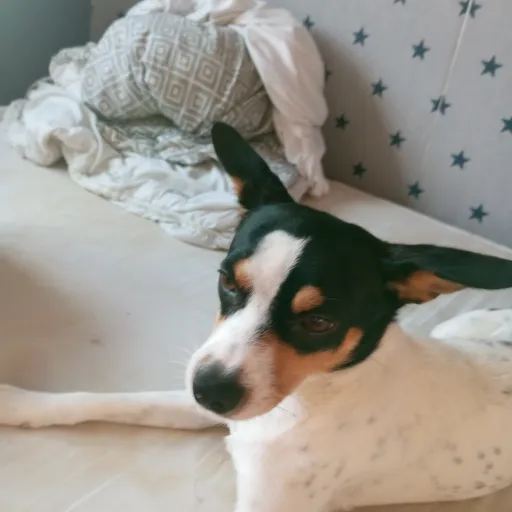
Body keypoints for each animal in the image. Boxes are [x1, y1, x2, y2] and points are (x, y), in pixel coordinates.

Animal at [3, 122, 512, 511]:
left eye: (319, 323)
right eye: (228, 280)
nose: (210, 391)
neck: (316, 392)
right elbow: (117, 401)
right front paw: (18, 403)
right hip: (457, 325)